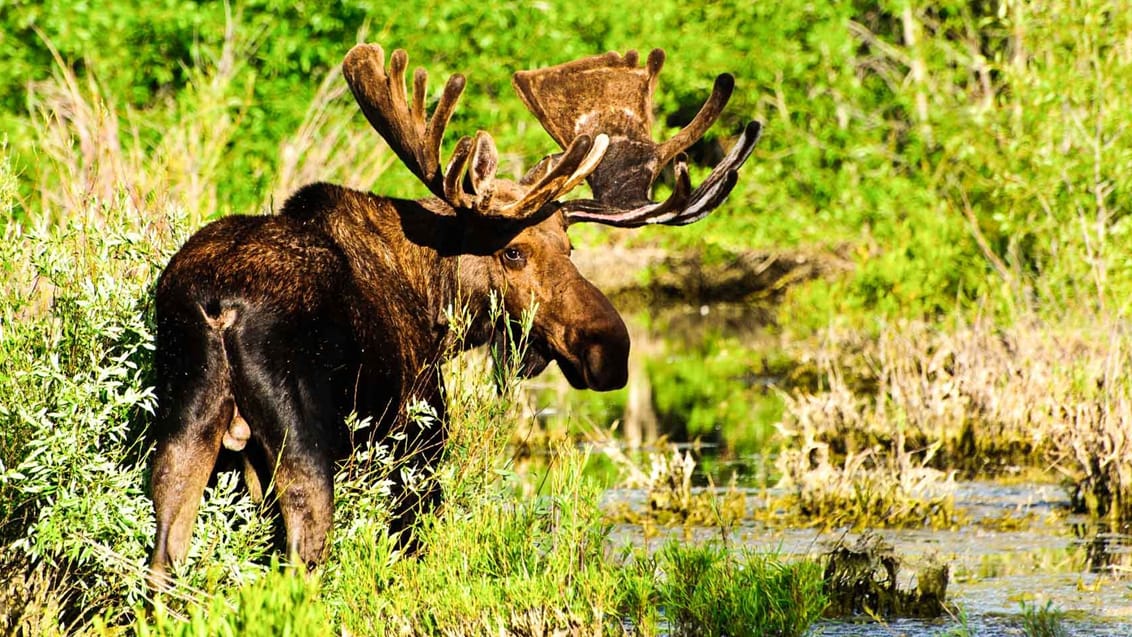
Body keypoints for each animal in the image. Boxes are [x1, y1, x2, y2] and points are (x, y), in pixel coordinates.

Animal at [146, 42, 756, 583]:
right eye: (513, 252)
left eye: (570, 247)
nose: (611, 347)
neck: (435, 298)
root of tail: (219, 307)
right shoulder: (419, 440)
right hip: (305, 442)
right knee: (302, 558)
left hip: (183, 428)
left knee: (164, 558)